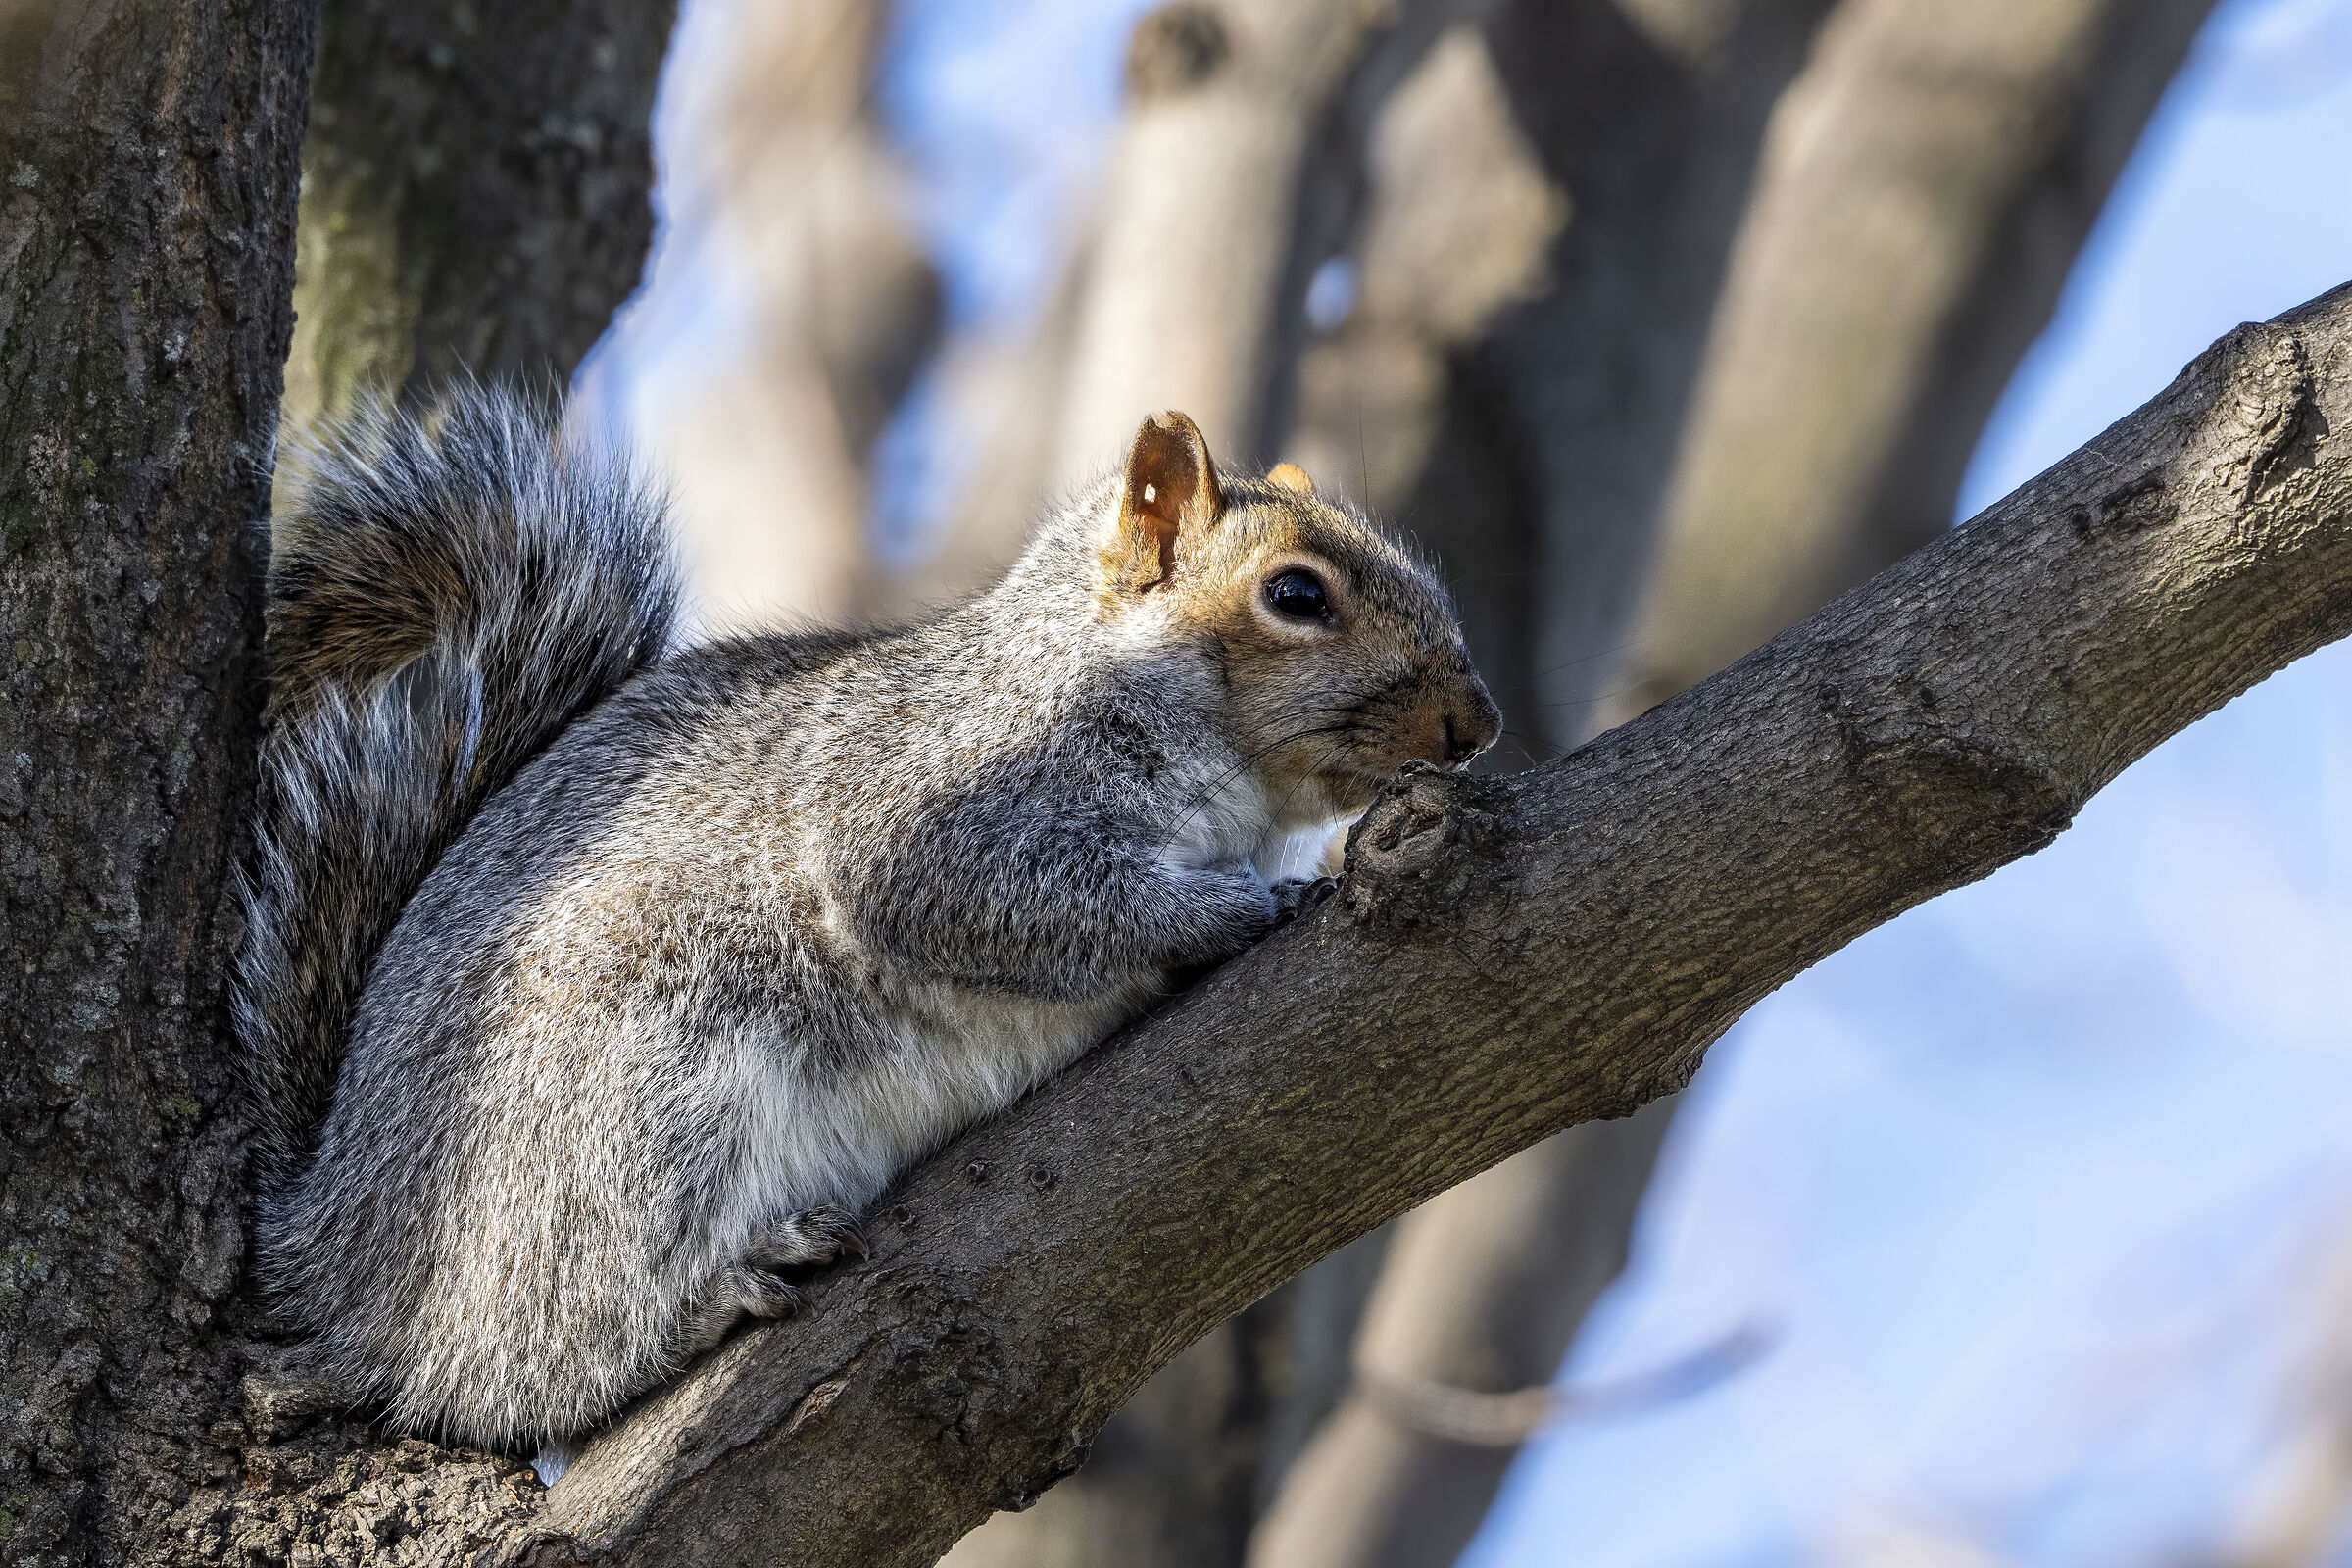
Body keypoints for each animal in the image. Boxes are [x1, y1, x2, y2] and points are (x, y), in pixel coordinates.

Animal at [234, 383, 1499, 1468]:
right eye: (1297, 596)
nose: (1478, 722)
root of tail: (334, 1243)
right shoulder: (933, 807)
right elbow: (1000, 903)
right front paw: (1238, 905)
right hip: (627, 1115)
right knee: (514, 1367)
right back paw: (709, 1294)